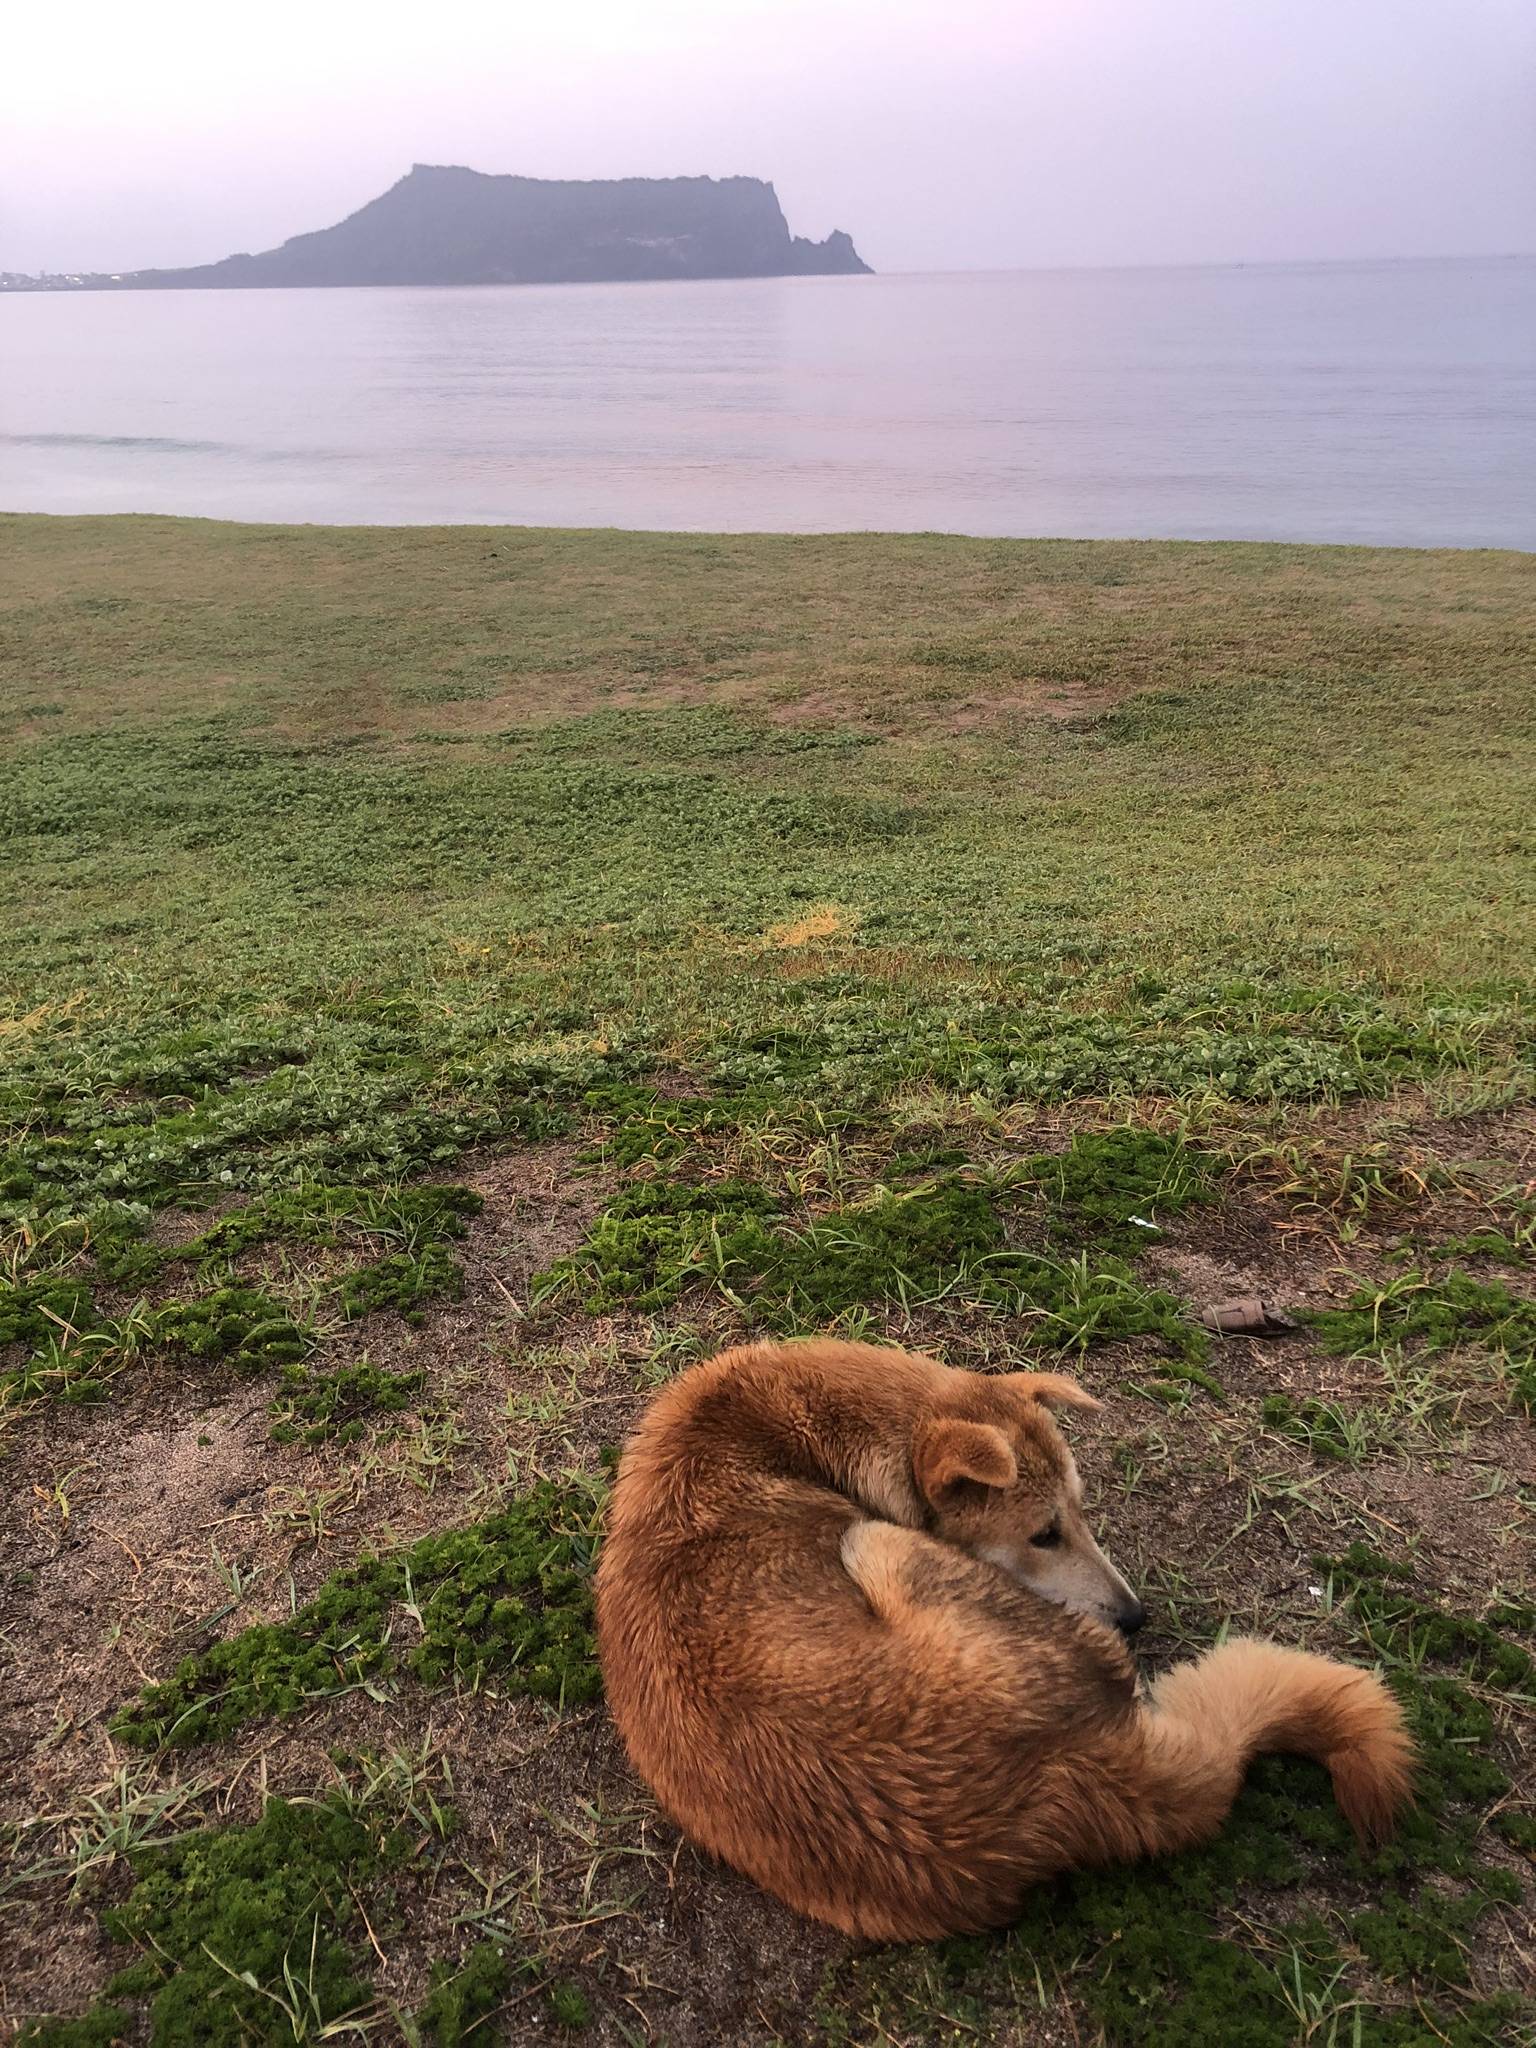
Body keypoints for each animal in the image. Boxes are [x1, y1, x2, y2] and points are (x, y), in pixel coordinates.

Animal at [593, 1335, 1417, 1941]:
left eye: (1082, 1511)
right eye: (1043, 1534)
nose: (1135, 1618)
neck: (776, 1427)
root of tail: (1084, 1761)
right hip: (871, 1543)